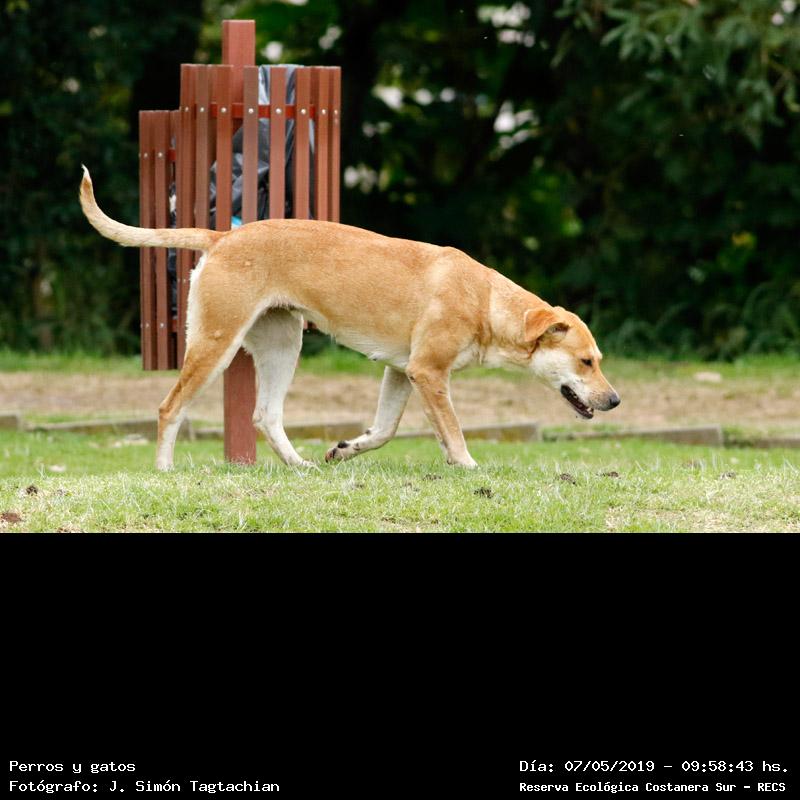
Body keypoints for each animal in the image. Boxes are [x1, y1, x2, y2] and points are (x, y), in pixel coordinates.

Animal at [79, 166, 619, 470]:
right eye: (587, 361)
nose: (614, 400)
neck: (485, 300)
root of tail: (222, 237)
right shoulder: (428, 372)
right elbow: (453, 428)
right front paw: (468, 465)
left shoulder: (402, 372)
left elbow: (385, 431)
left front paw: (344, 450)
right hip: (216, 342)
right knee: (169, 408)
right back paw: (165, 471)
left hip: (283, 345)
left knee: (265, 414)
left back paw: (300, 465)